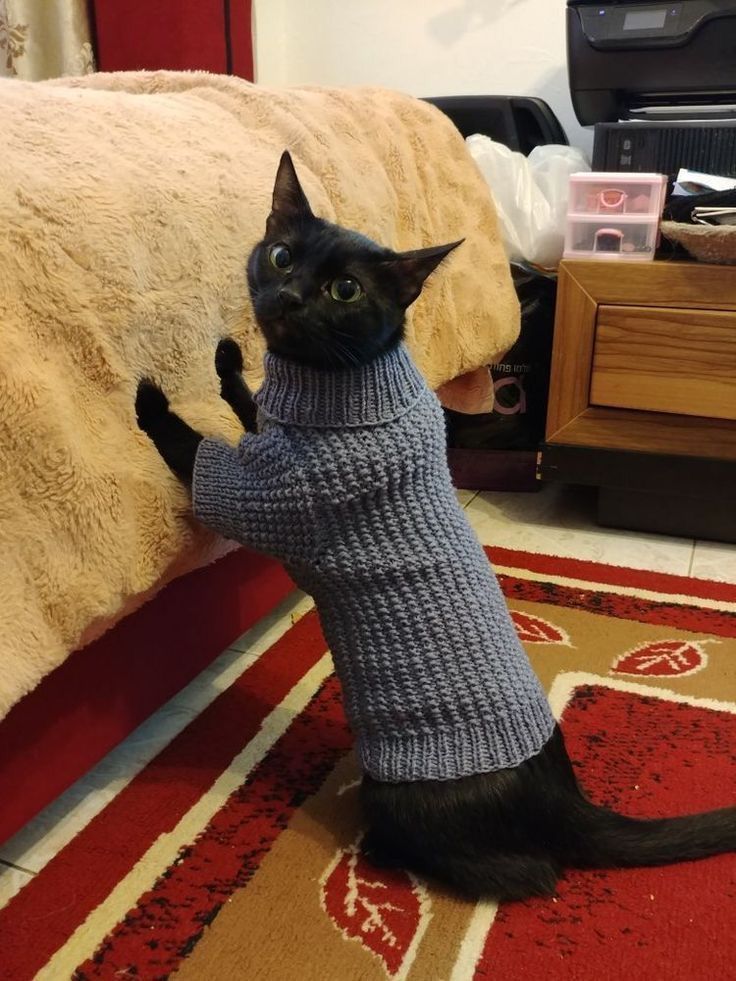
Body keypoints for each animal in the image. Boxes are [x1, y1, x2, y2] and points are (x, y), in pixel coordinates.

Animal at [139, 151, 736, 896]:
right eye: (280, 256)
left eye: (343, 289)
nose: (290, 297)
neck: (342, 384)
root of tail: (562, 795)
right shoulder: (272, 441)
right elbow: (250, 408)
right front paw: (226, 363)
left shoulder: (265, 502)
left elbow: (196, 453)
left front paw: (148, 399)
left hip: (400, 797)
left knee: (527, 872)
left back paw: (384, 852)